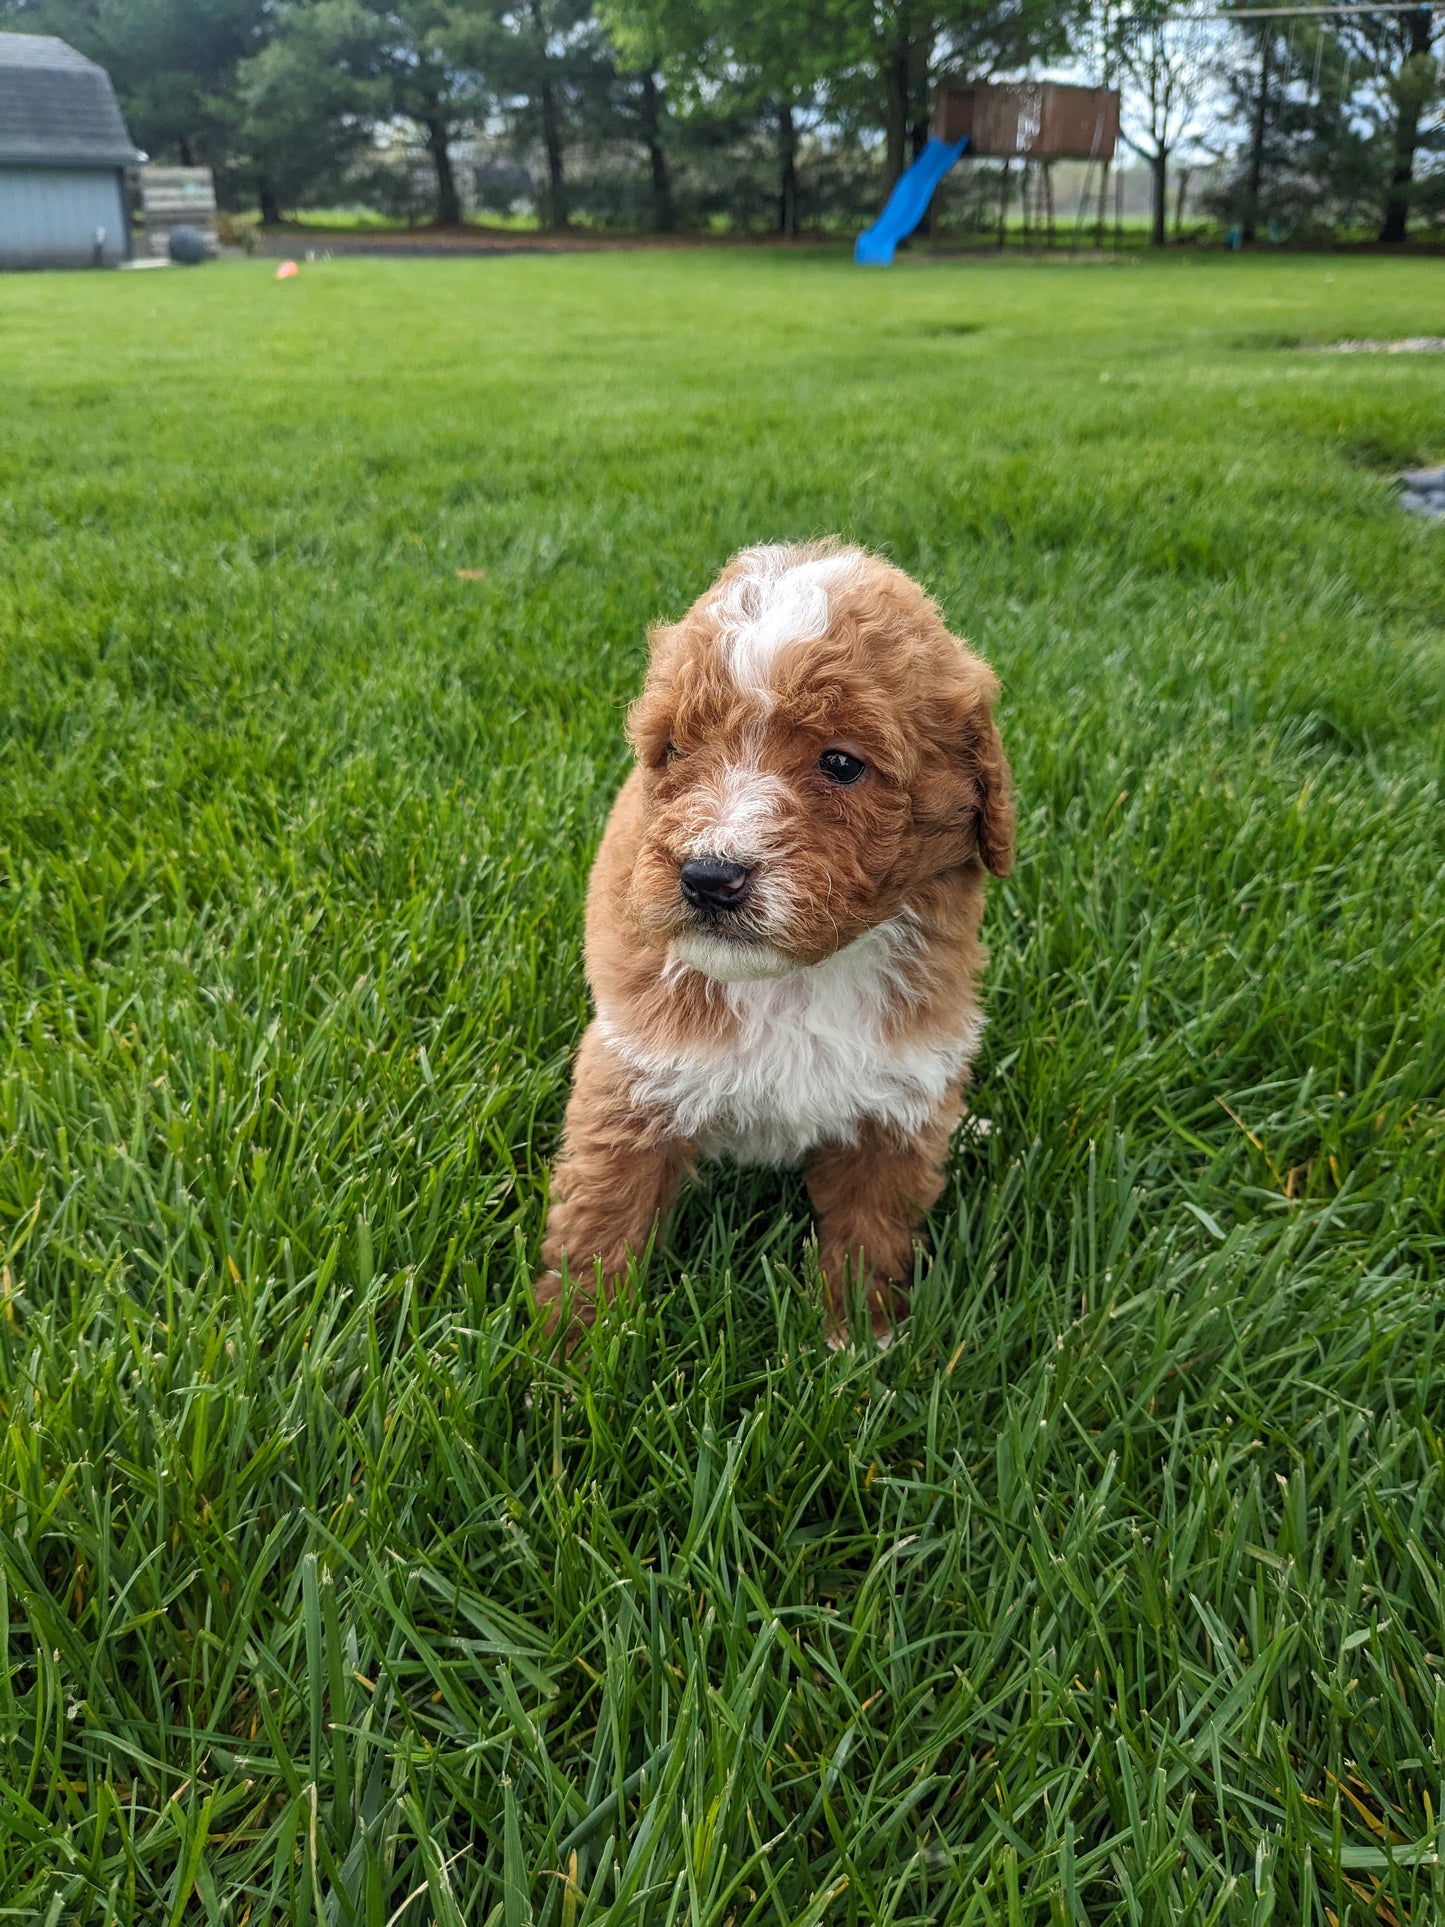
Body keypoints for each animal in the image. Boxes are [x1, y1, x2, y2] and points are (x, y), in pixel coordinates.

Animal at [535, 543, 1017, 1348]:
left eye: (842, 763)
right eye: (675, 750)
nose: (708, 878)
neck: (794, 981)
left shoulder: (900, 1098)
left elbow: (873, 1229)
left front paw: (860, 1343)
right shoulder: (632, 1075)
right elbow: (600, 1219)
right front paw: (571, 1348)